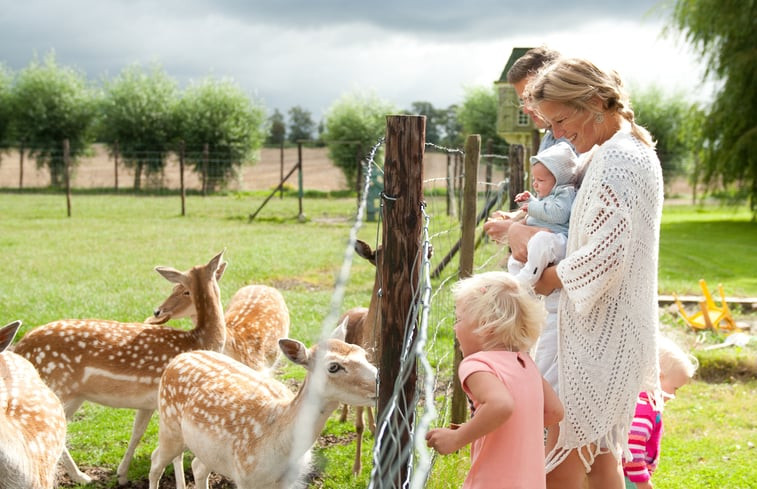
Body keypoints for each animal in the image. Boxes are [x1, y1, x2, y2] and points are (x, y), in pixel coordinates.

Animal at [12, 250, 224, 486]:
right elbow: (175, 454)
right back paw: (82, 477)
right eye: (176, 289)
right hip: (56, 388)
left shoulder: (149, 403)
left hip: (74, 396)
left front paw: (122, 474)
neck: (198, 339)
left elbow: (137, 432)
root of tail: (19, 348)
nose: (157, 312)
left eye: (185, 290)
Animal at [146, 336, 376, 488]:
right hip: (169, 426)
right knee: (156, 460)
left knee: (197, 466)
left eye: (364, 354)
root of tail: (176, 359)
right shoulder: (245, 476)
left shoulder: (290, 481)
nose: (378, 381)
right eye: (333, 366)